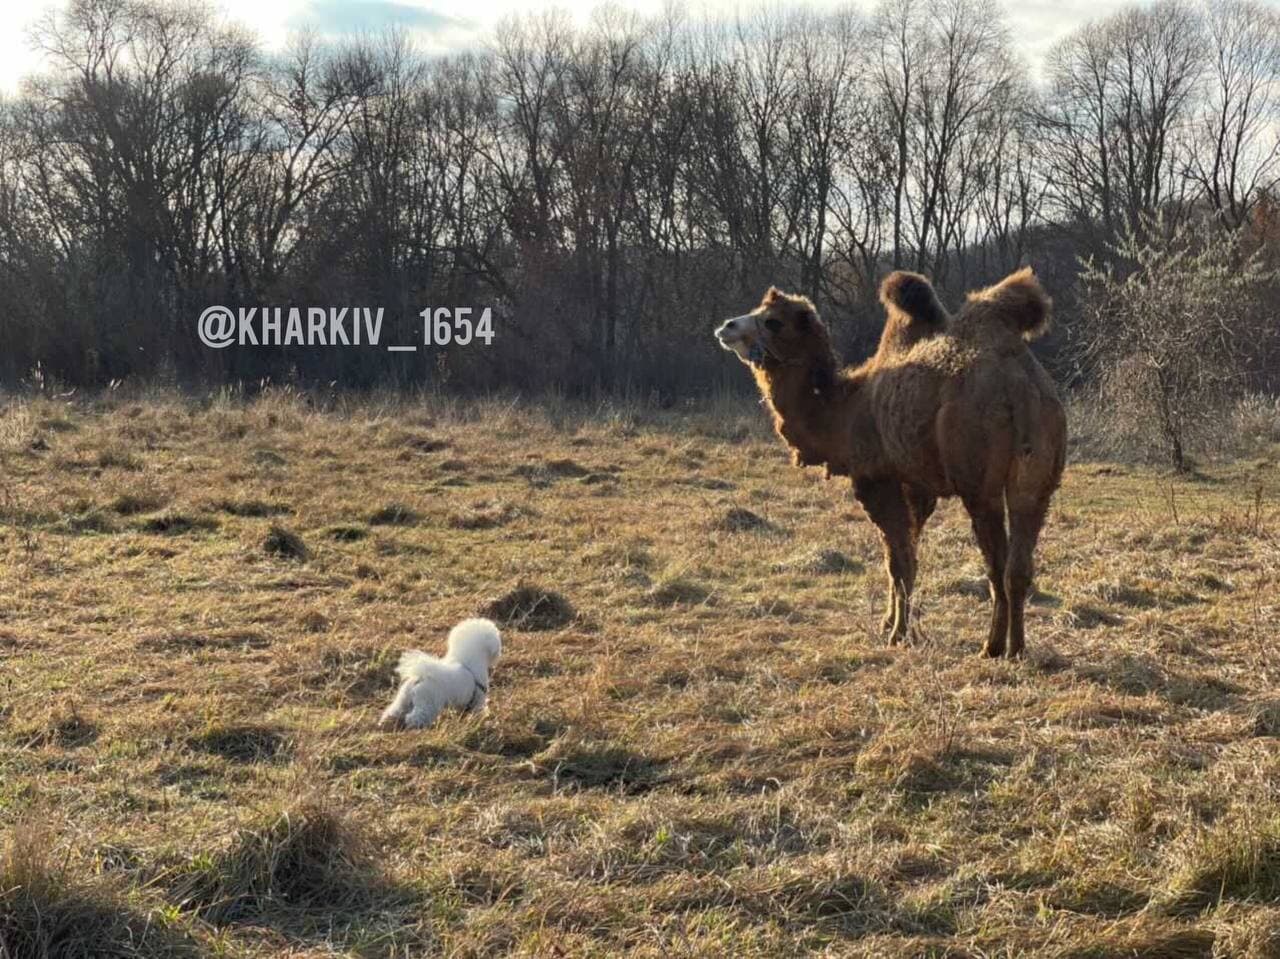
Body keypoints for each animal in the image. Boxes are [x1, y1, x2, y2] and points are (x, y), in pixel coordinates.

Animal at [716, 268, 1064, 660]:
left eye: (772, 321)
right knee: (1019, 565)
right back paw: (1016, 648)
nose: (727, 326)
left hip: (979, 484)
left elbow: (897, 561)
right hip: (1037, 481)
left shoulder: (877, 479)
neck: (844, 408)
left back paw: (991, 646)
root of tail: (1020, 384)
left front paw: (898, 634)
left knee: (996, 565)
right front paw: (891, 624)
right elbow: (907, 557)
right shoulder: (917, 485)